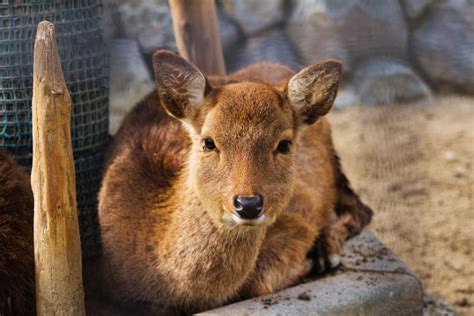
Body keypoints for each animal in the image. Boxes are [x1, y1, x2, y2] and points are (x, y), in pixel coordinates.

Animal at [94, 50, 372, 314]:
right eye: (208, 142)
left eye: (284, 144)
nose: (248, 204)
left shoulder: (300, 213)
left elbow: (256, 282)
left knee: (361, 209)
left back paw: (327, 253)